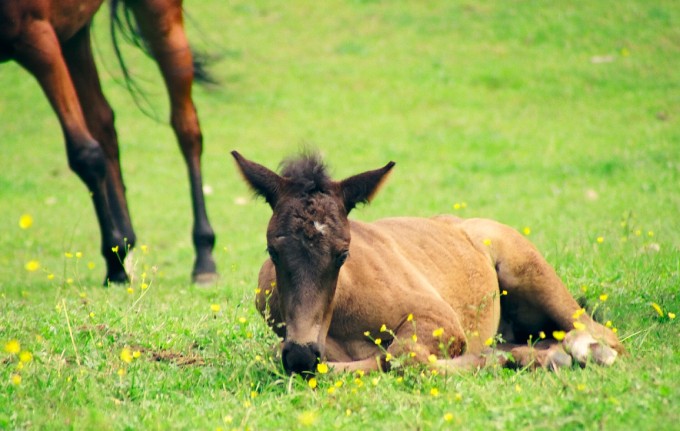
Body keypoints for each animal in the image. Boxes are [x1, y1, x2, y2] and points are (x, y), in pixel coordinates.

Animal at [0, 1, 216, 286]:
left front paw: (116, 266)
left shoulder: (34, 33)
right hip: (74, 34)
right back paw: (123, 244)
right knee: (103, 124)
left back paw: (203, 256)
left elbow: (85, 155)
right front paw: (116, 259)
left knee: (187, 129)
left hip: (157, 15)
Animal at [231, 152, 624, 374]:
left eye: (343, 254)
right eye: (273, 251)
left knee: (600, 332)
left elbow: (402, 356)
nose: (301, 355)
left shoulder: (439, 320)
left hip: (526, 269)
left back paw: (586, 350)